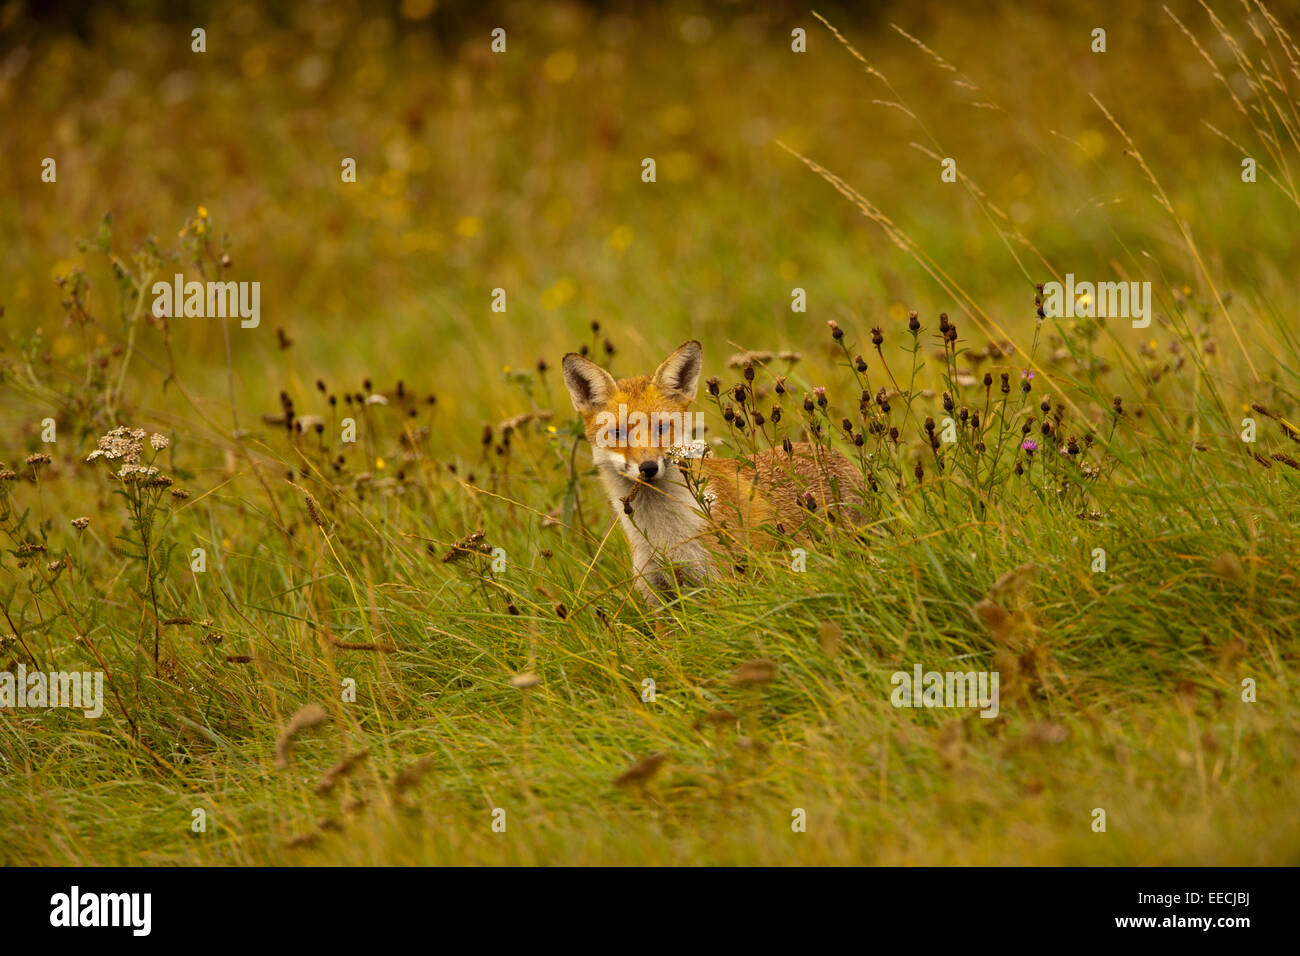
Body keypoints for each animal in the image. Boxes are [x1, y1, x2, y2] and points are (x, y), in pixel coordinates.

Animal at [562, 340, 865, 603]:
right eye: (617, 433)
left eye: (662, 428)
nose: (648, 467)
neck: (664, 538)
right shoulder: (657, 594)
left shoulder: (720, 583)